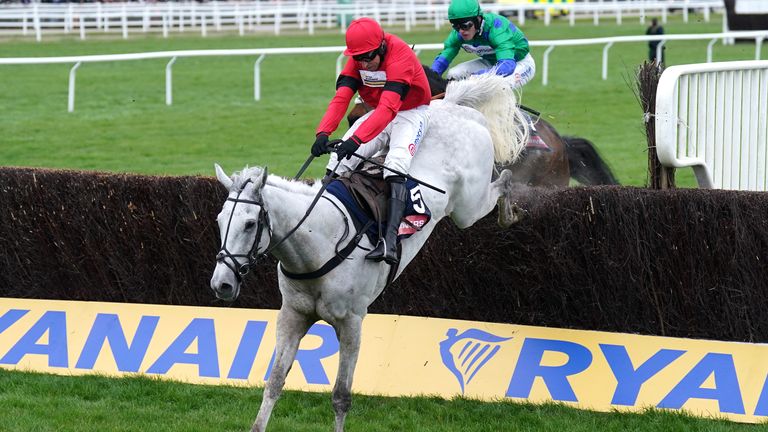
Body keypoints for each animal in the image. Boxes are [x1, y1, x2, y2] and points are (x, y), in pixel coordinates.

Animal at [213, 72, 532, 430]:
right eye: (220, 221)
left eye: (250, 223)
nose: (221, 283)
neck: (318, 243)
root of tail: (451, 105)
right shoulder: (292, 315)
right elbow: (275, 381)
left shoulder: (351, 321)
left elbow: (341, 395)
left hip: (467, 207)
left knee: (503, 179)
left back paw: (510, 212)